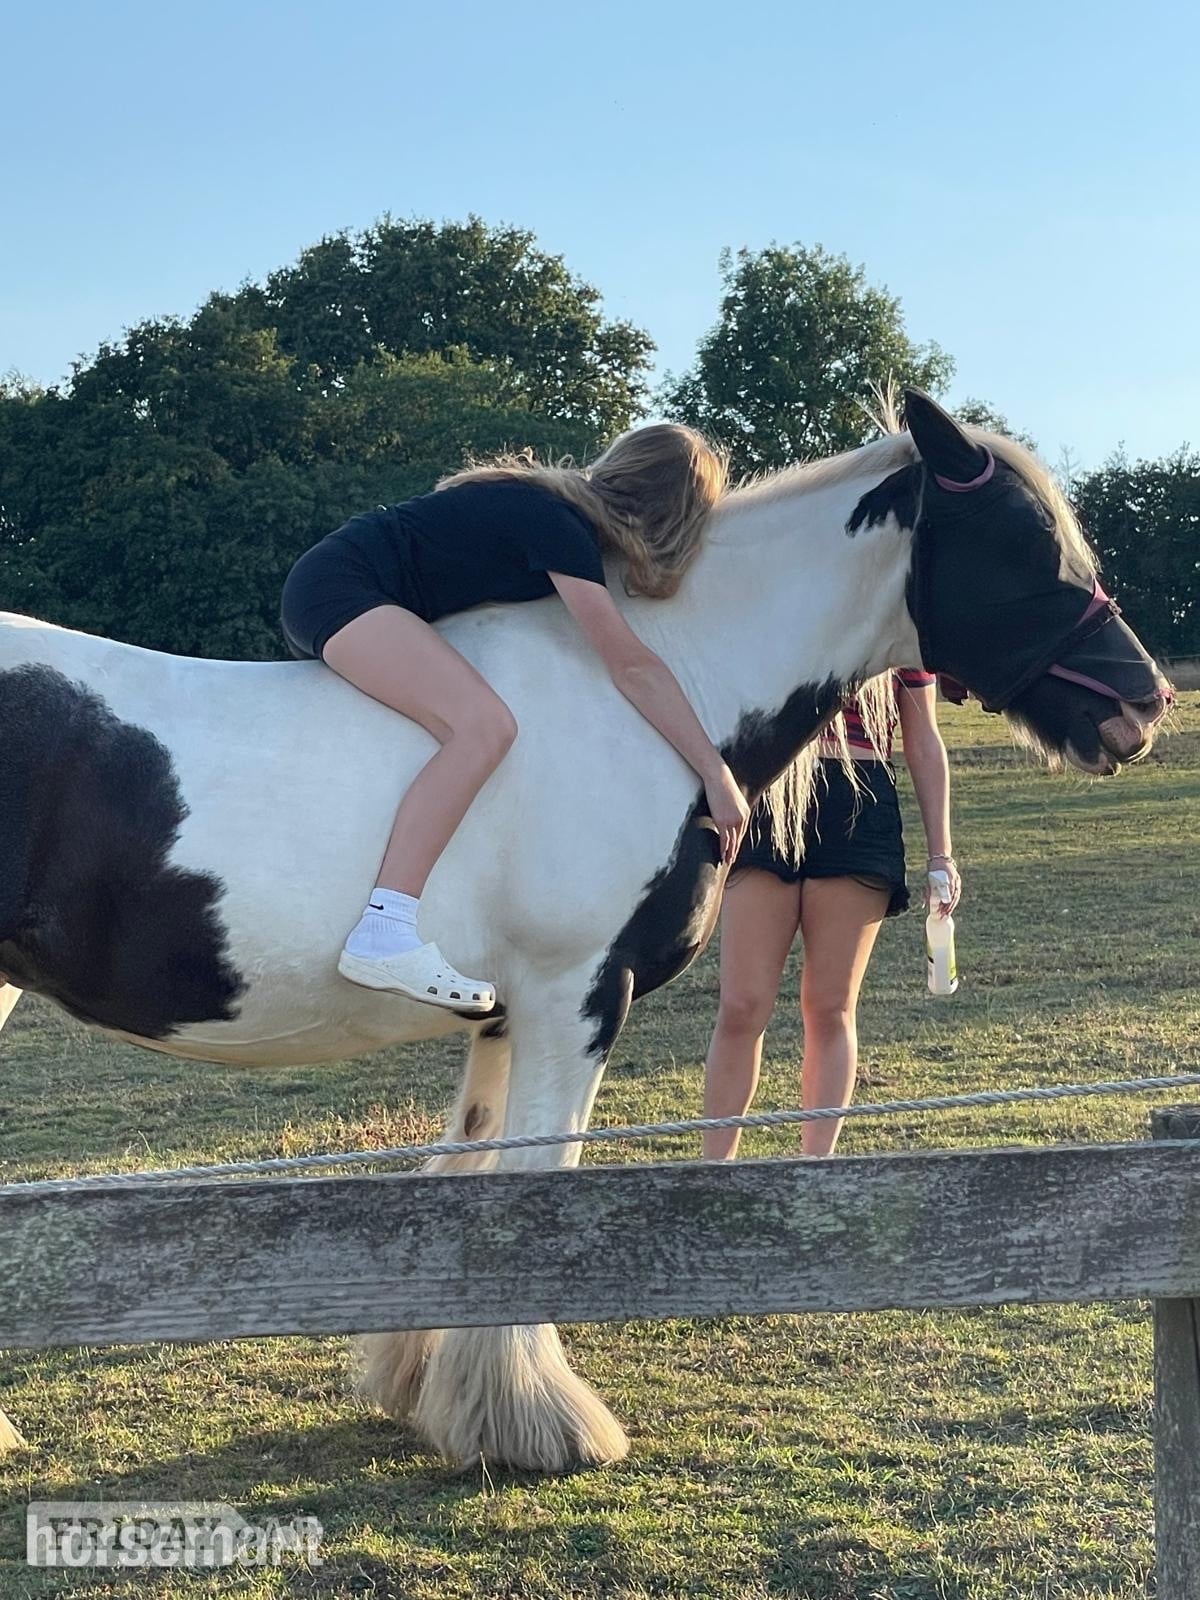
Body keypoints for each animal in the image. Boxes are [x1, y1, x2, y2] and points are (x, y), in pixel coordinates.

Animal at [0, 392, 1171, 1471]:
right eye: (1028, 543)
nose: (1144, 704)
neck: (654, 692)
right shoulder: (577, 994)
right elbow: (538, 1186)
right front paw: (538, 1424)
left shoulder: (506, 1012)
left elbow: (476, 1175)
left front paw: (431, 1387)